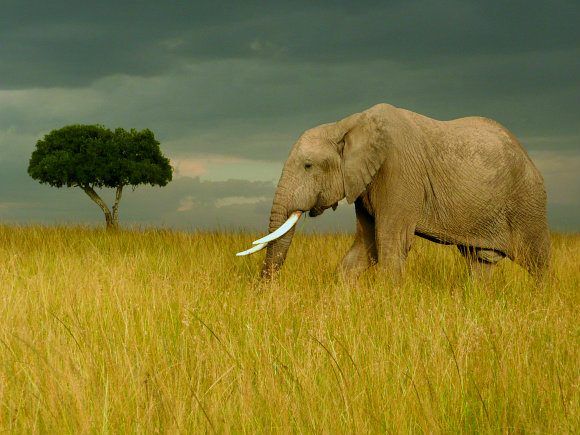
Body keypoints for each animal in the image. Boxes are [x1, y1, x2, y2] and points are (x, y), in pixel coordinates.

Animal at [238, 103, 552, 282]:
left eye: (307, 165)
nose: (265, 292)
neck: (348, 123)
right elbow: (365, 247)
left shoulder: (399, 171)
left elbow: (391, 244)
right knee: (480, 263)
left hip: (528, 202)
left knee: (537, 263)